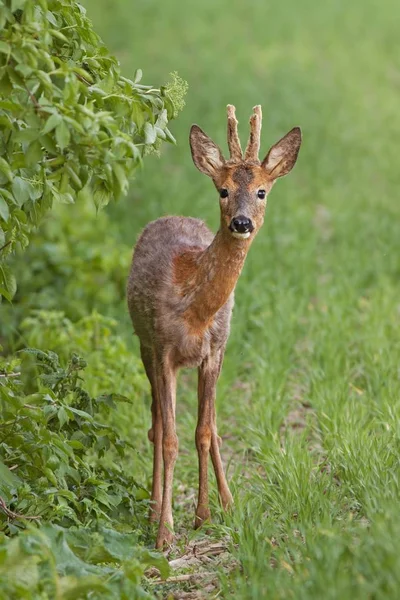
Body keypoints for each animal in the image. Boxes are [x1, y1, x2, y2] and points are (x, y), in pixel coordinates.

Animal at [126, 104, 302, 548]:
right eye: (222, 190)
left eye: (262, 191)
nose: (241, 223)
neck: (196, 310)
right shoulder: (162, 349)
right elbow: (169, 437)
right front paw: (165, 531)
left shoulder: (214, 351)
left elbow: (203, 432)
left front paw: (204, 515)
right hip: (142, 346)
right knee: (156, 423)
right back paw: (153, 507)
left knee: (213, 424)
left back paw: (228, 502)